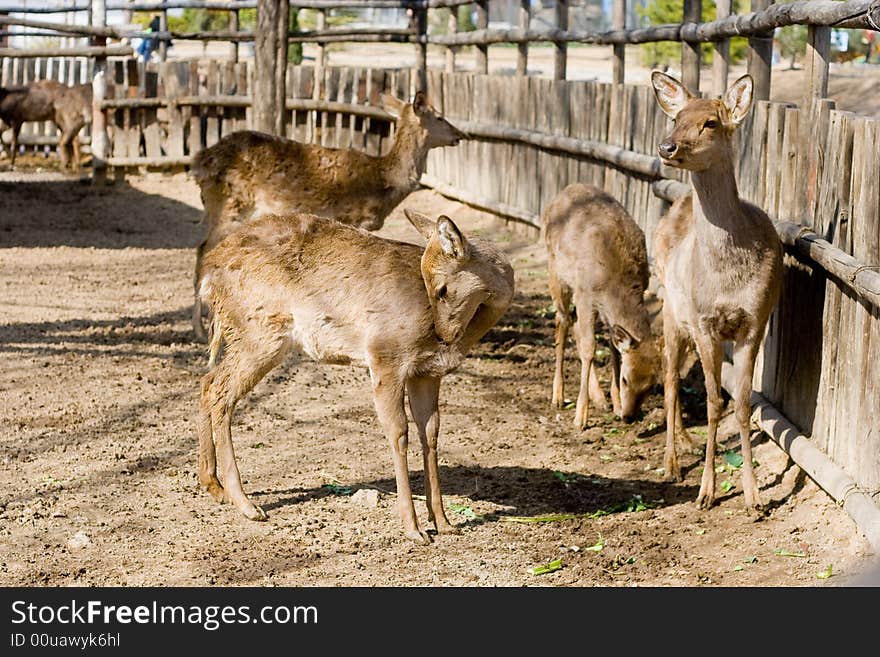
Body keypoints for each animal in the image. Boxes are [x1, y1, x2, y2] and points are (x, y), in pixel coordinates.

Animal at [189, 91, 468, 344]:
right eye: (440, 116)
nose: (460, 135)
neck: (383, 185)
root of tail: (198, 162)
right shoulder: (353, 218)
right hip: (229, 206)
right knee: (204, 250)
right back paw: (201, 329)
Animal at [198, 208, 516, 540]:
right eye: (432, 287)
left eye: (440, 288)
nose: (444, 335)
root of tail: (209, 274)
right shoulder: (385, 356)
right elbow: (398, 432)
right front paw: (413, 528)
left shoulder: (427, 373)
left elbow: (429, 433)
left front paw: (443, 522)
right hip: (259, 333)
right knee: (221, 393)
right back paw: (247, 505)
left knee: (208, 382)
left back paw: (214, 487)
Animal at [544, 183, 660, 430]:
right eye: (626, 379)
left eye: (652, 385)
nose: (629, 416)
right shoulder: (586, 294)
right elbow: (590, 347)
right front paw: (580, 418)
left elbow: (613, 347)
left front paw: (615, 405)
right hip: (557, 273)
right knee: (563, 321)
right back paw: (558, 396)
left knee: (575, 325)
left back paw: (599, 399)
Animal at [648, 73, 788, 512]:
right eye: (676, 118)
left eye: (710, 122)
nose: (667, 146)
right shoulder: (705, 322)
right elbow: (713, 403)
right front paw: (706, 492)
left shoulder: (755, 320)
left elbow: (741, 403)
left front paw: (755, 497)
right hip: (672, 308)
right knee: (669, 376)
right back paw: (672, 464)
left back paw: (686, 447)